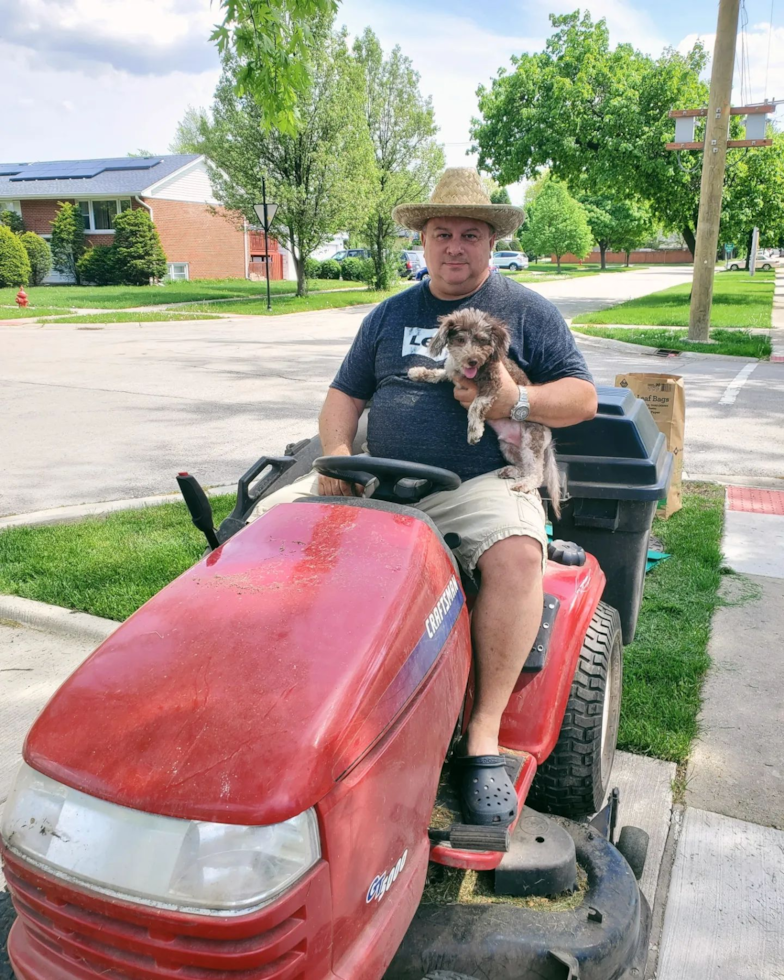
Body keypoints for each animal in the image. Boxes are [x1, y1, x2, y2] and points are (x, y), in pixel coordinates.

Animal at [408, 310, 560, 516]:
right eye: (461, 340)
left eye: (482, 340)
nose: (472, 360)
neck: (470, 371)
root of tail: (548, 437)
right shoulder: (452, 371)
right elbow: (438, 373)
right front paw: (418, 372)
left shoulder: (493, 385)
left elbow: (475, 406)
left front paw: (474, 431)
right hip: (508, 448)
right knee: (524, 466)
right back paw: (512, 472)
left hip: (531, 440)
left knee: (537, 473)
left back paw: (524, 484)